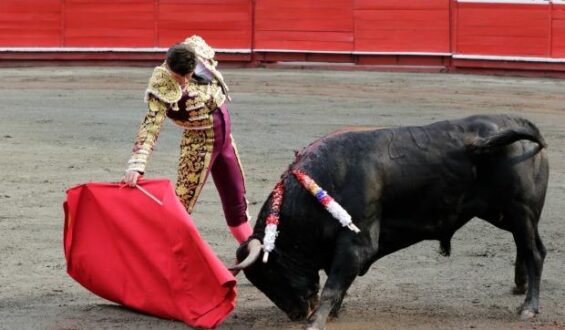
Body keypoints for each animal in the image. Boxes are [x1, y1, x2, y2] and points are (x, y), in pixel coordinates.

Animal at [231, 114, 548, 330]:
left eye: (270, 272)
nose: (296, 314)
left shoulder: (357, 242)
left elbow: (333, 285)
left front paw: (316, 321)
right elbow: (338, 282)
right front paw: (330, 313)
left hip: (519, 210)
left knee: (533, 252)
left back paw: (529, 308)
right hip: (506, 214)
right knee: (532, 248)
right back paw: (520, 286)